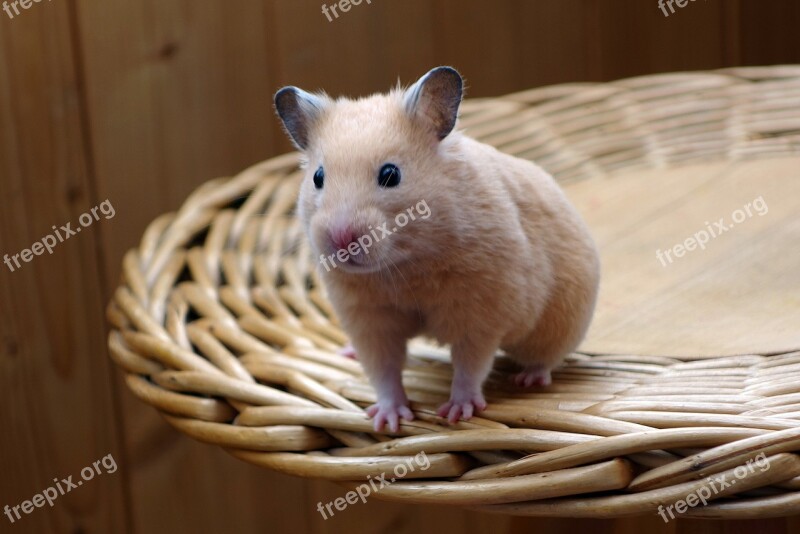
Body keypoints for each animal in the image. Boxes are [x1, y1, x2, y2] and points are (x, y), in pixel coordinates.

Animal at [276, 68, 600, 436]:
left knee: (546, 358)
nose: (342, 239)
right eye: (318, 177)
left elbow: (470, 365)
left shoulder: (481, 314)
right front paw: (388, 421)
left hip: (560, 323)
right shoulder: (368, 320)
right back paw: (347, 354)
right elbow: (384, 371)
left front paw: (456, 414)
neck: (404, 263)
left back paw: (528, 380)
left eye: (391, 174)